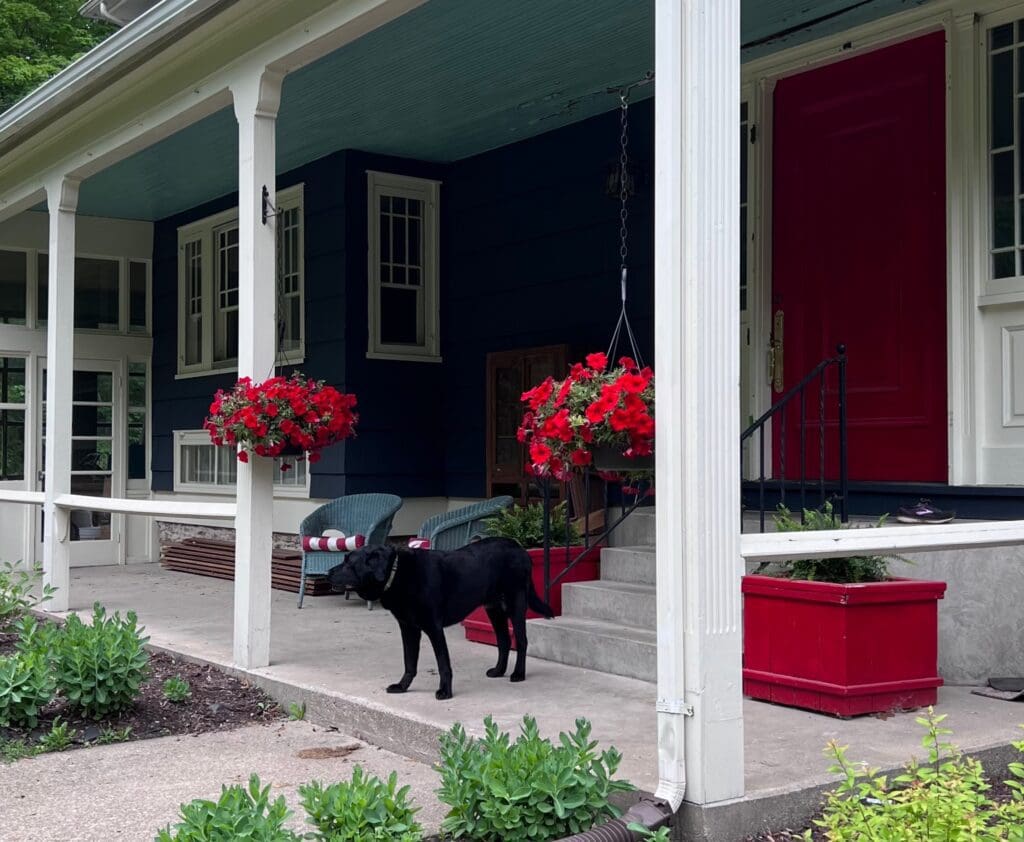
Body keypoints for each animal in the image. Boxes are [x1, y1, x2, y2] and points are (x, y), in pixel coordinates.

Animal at [325, 540, 552, 700]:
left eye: (349, 562)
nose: (327, 573)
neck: (396, 573)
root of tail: (520, 548)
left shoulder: (434, 628)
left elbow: (443, 663)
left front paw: (445, 691)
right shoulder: (408, 628)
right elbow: (409, 662)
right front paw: (402, 686)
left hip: (516, 603)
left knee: (521, 641)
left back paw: (518, 674)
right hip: (493, 608)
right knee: (504, 640)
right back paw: (498, 671)